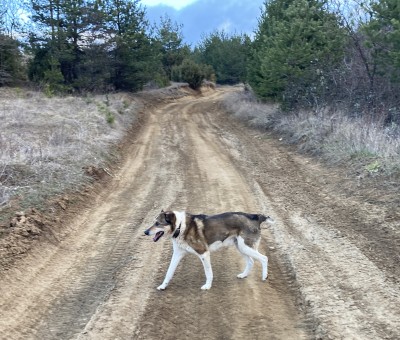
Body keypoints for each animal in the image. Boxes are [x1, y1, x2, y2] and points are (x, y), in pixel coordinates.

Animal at [145, 210, 274, 290]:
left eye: (158, 223)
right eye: (154, 222)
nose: (145, 232)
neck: (180, 227)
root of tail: (255, 216)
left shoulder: (204, 253)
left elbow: (208, 272)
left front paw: (207, 286)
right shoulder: (177, 254)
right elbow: (169, 272)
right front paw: (163, 286)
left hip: (245, 247)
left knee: (264, 258)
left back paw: (264, 276)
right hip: (241, 247)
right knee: (251, 261)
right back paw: (243, 275)